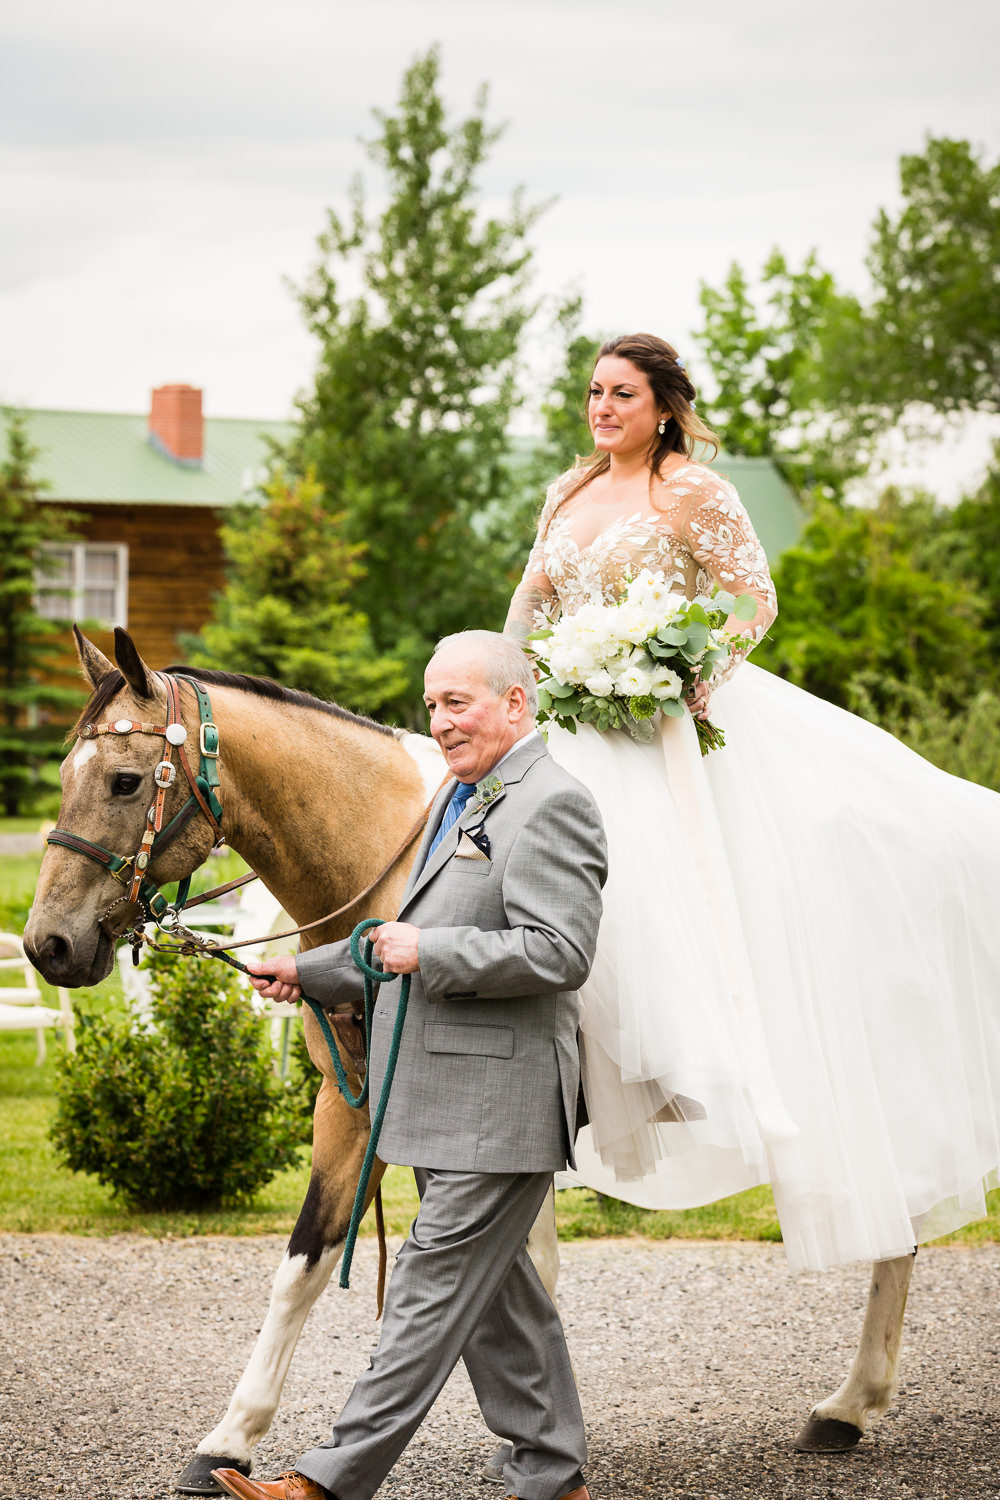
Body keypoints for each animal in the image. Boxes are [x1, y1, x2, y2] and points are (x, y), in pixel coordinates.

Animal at [23, 627, 917, 1494]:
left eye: (126, 782)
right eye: (65, 776)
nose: (46, 945)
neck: (380, 852)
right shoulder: (353, 1105)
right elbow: (320, 1265)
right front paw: (233, 1442)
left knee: (896, 1230)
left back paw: (850, 1404)